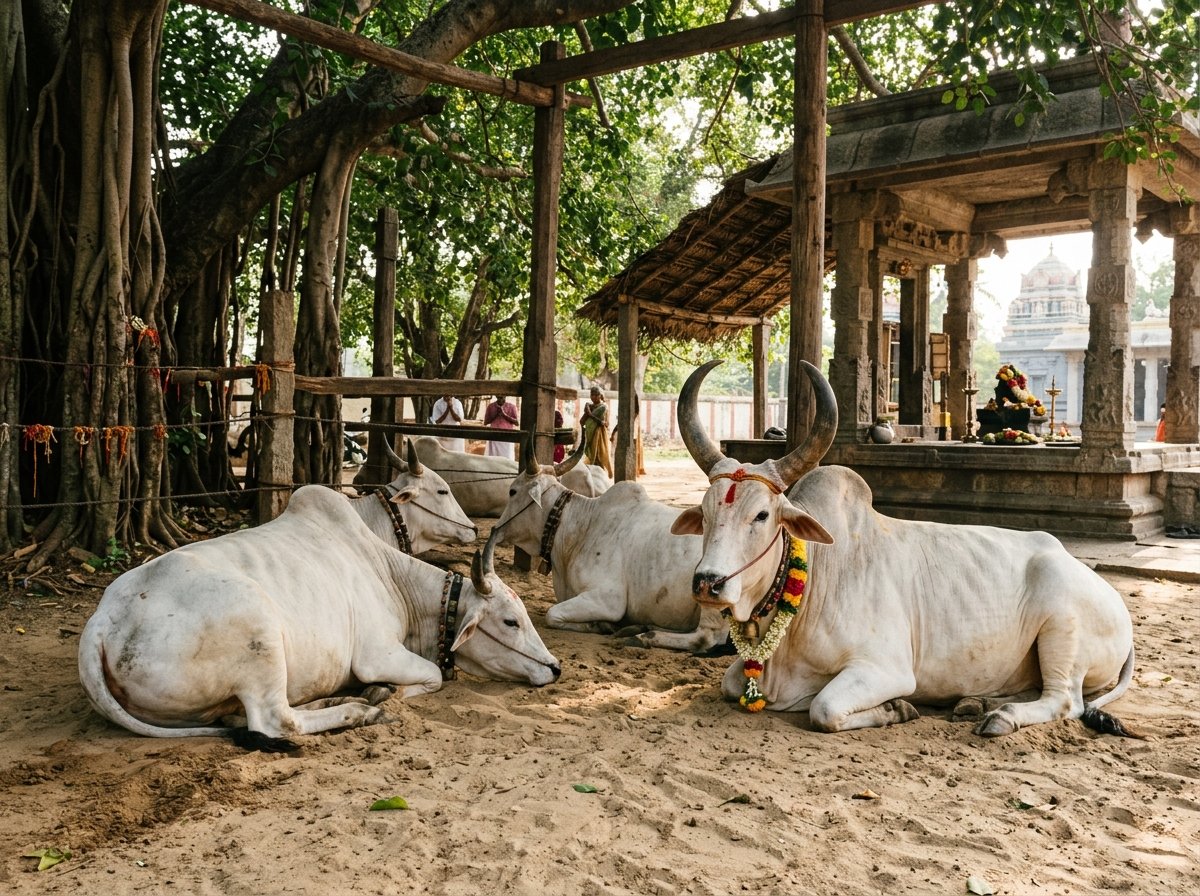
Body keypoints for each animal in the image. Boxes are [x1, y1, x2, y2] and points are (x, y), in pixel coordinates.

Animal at [78, 485, 561, 751]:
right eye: (511, 622)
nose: (555, 668)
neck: (396, 580)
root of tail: (103, 620)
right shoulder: (377, 653)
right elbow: (432, 676)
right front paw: (384, 694)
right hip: (259, 630)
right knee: (276, 721)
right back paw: (359, 711)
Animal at [491, 440, 727, 654]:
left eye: (512, 491)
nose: (496, 529)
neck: (578, 528)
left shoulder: (609, 599)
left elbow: (552, 614)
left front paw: (601, 625)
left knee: (706, 638)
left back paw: (642, 636)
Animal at [670, 360, 1137, 738]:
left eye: (762, 515)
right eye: (705, 513)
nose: (708, 583)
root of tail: (1111, 597)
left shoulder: (885, 668)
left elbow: (825, 708)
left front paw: (897, 709)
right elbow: (731, 683)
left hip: (1062, 631)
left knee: (1065, 700)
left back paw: (1001, 717)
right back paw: (977, 702)